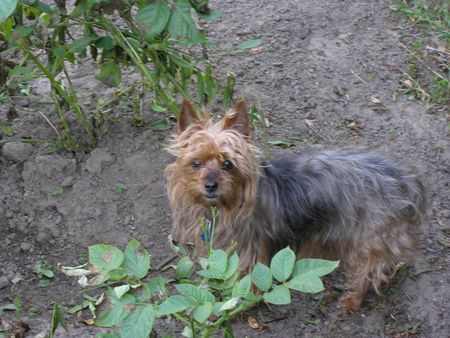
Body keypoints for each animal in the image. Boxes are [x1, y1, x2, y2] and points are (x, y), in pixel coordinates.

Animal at [165, 100, 426, 312]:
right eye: (196, 163)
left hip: (369, 235)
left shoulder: (249, 251)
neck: (221, 207)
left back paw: (352, 299)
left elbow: (247, 280)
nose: (210, 185)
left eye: (227, 164)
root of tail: (405, 180)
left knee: (368, 270)